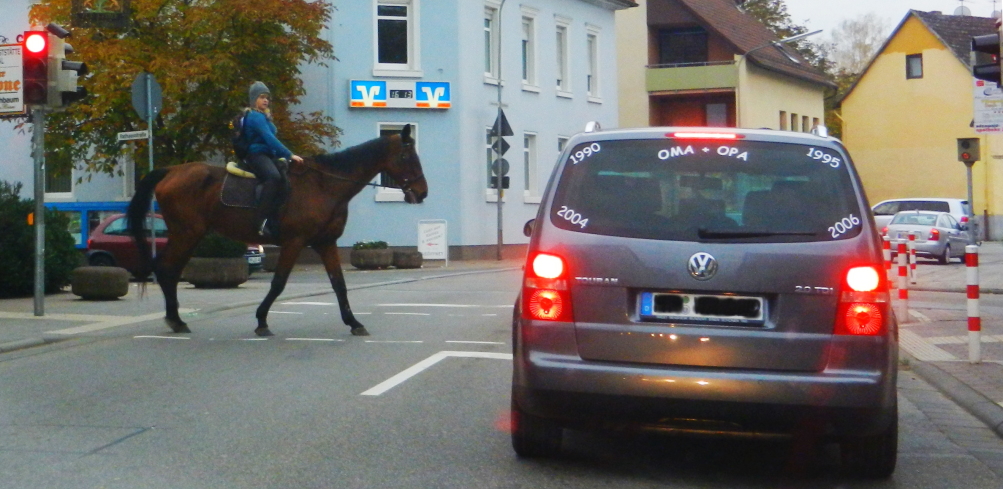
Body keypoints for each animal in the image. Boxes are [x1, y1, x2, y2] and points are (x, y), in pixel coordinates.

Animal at [124, 124, 423, 336]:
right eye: (406, 155)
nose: (423, 192)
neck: (324, 185)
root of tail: (172, 171)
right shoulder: (294, 242)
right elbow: (278, 282)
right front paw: (261, 320)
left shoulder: (326, 243)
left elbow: (339, 284)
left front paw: (353, 322)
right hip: (187, 233)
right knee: (167, 269)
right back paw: (175, 320)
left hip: (189, 235)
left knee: (170, 271)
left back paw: (175, 319)